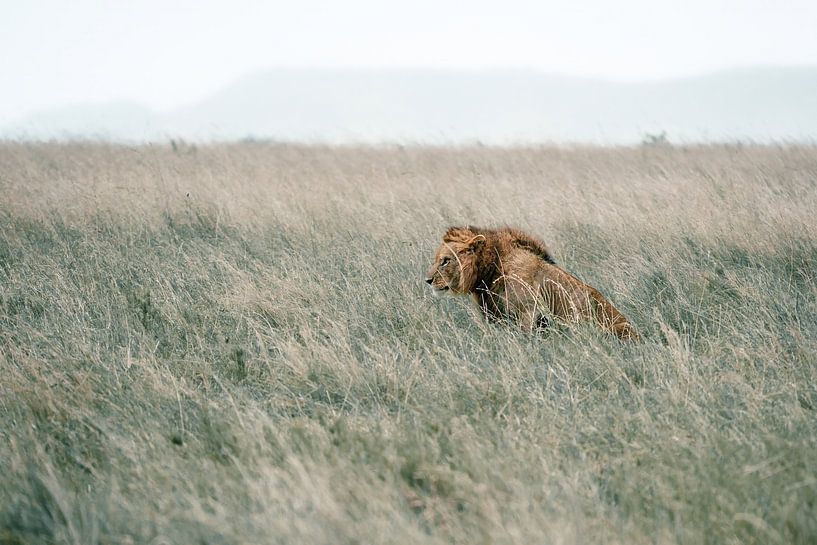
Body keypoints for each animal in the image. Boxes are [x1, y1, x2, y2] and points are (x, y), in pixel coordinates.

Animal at [425, 226, 639, 341]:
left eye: (445, 261)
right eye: (436, 260)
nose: (427, 280)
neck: (492, 269)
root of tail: (639, 337)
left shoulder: (530, 311)